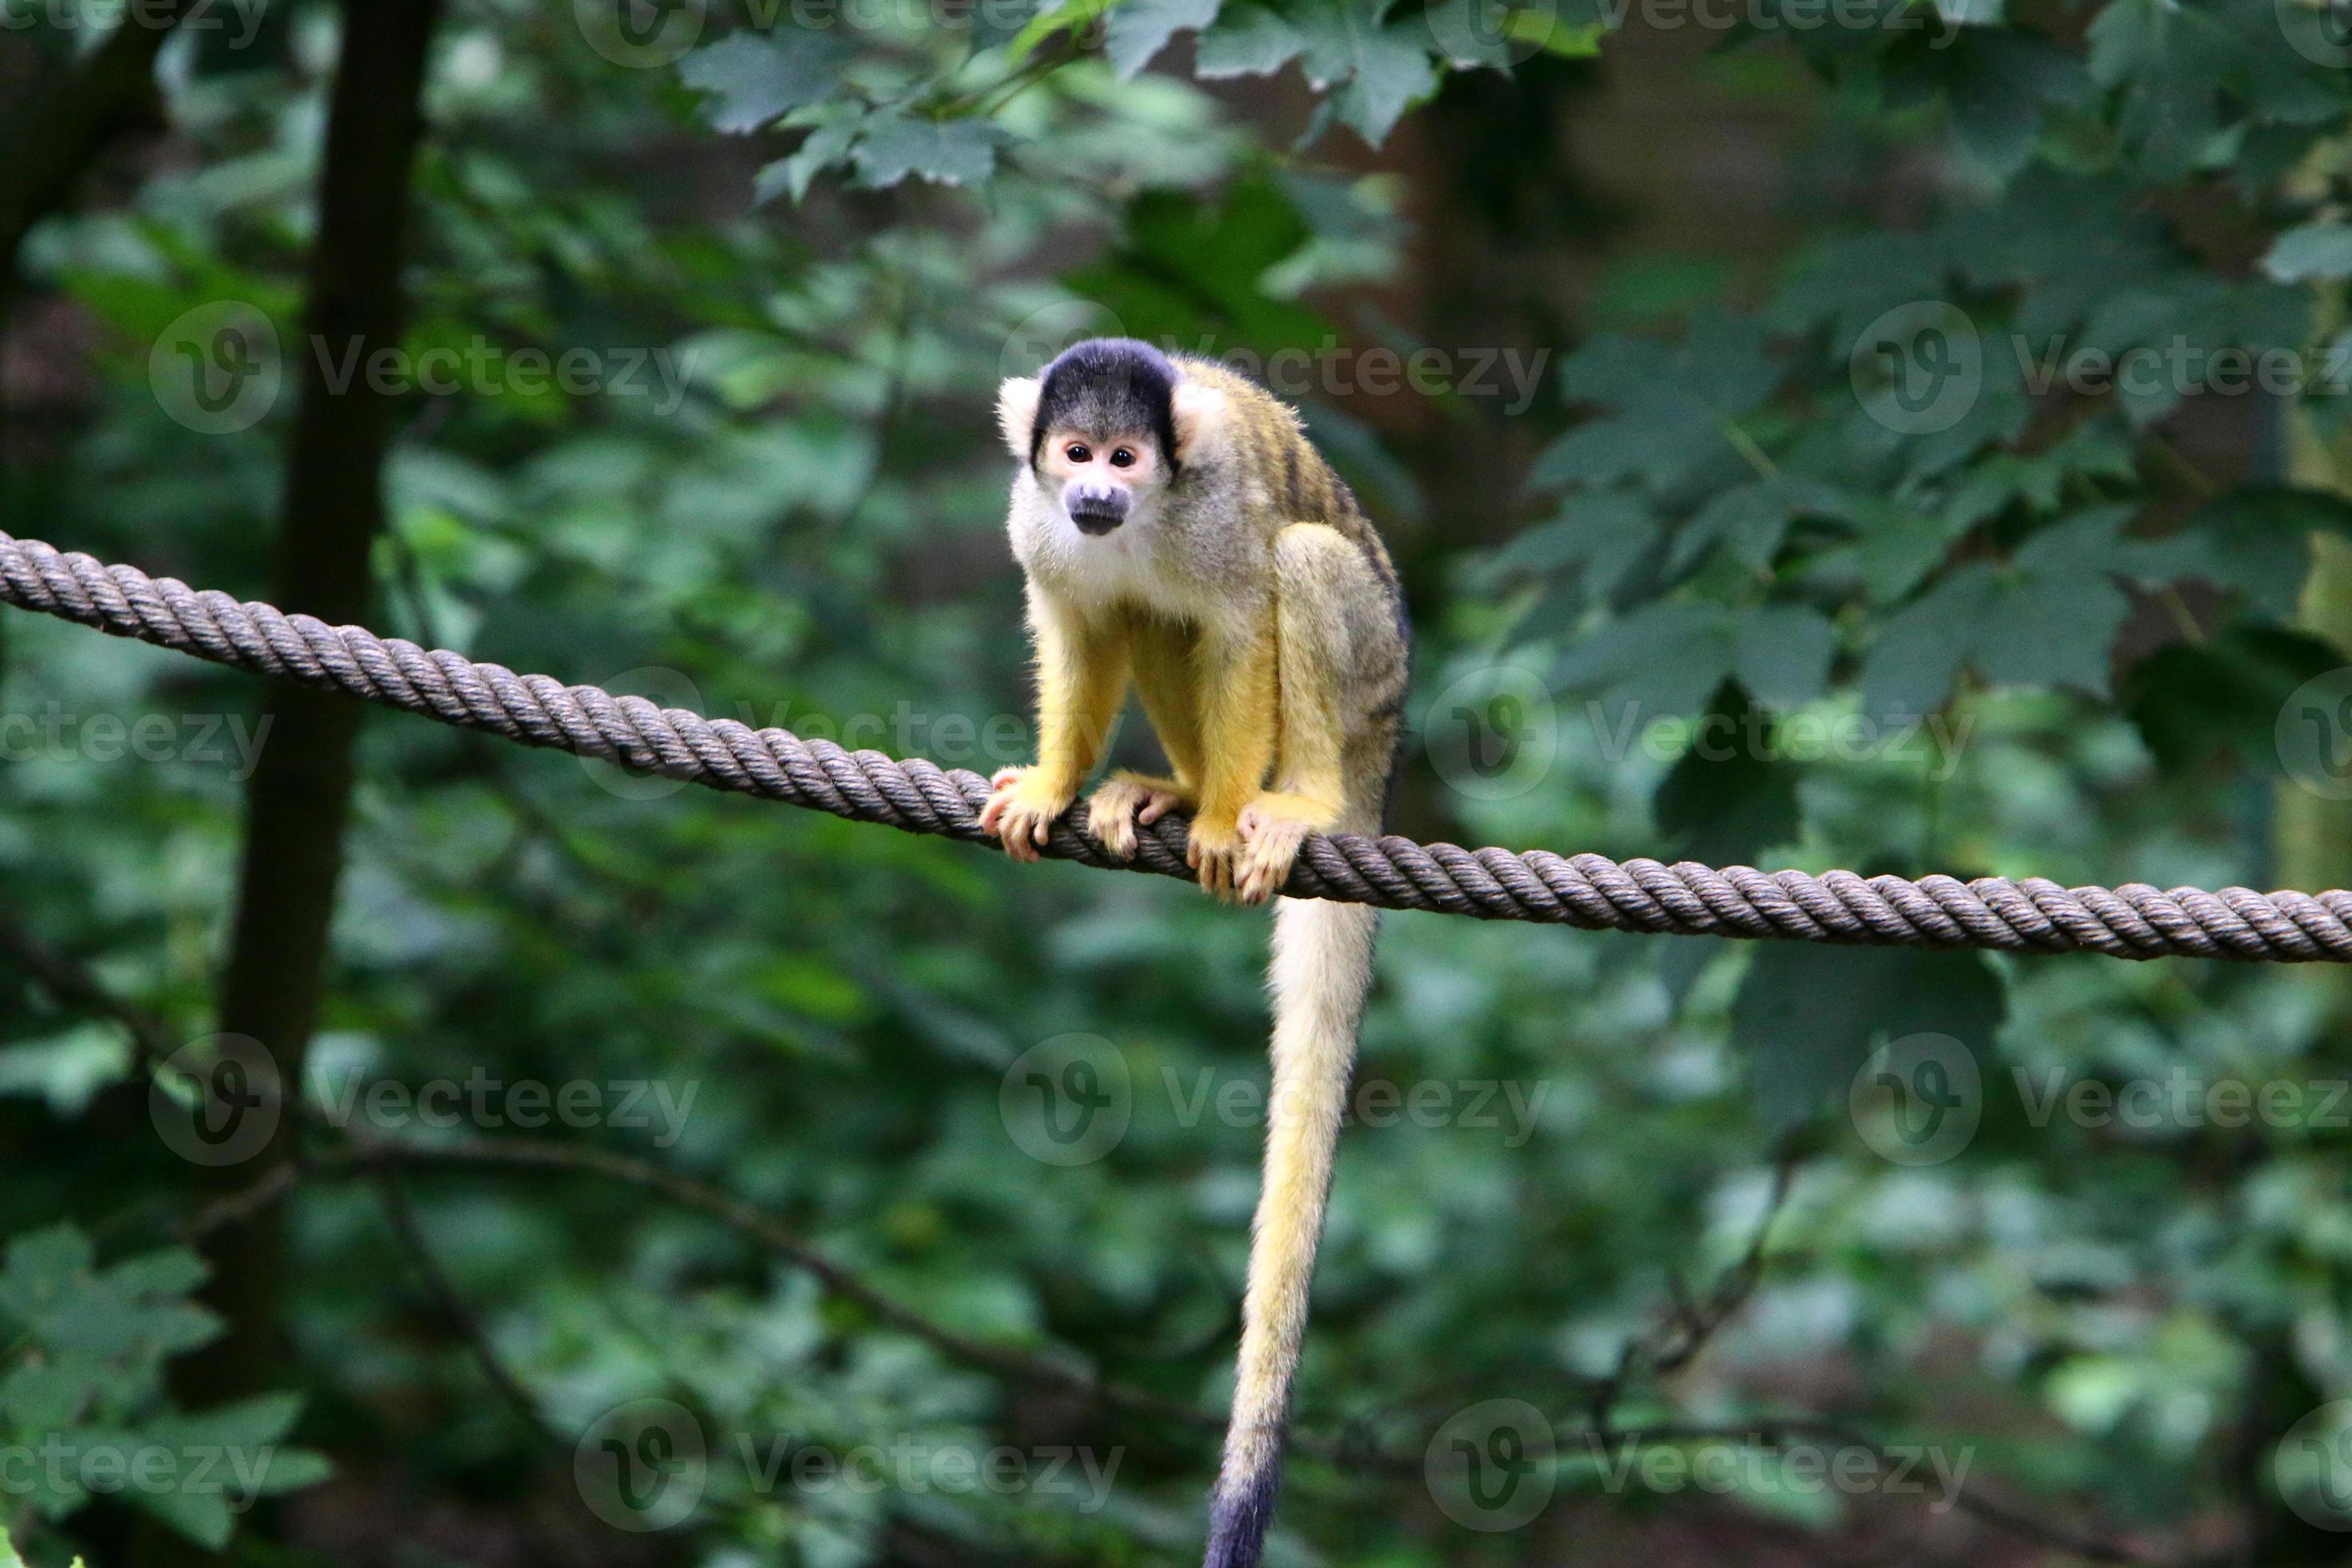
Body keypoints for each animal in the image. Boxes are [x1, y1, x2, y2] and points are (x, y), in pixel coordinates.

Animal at [982, 338, 1402, 1561]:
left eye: (1128, 458)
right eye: (1077, 453)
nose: (1097, 495)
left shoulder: (1212, 516)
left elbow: (1242, 624)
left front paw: (1220, 821)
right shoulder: (1034, 521)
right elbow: (1081, 624)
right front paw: (1055, 784)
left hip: (1371, 682)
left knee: (1298, 564)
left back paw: (1289, 804)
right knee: (1137, 611)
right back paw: (1163, 787)